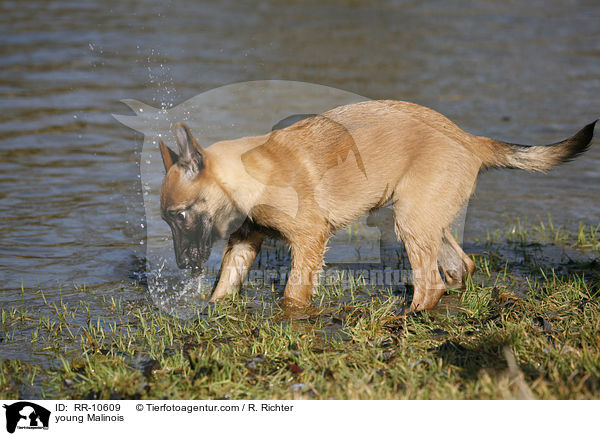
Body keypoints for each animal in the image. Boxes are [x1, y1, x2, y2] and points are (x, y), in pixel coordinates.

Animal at [159, 99, 596, 310]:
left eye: (179, 215)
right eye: (166, 220)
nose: (182, 265)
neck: (251, 175)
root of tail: (470, 139)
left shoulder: (308, 241)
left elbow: (293, 296)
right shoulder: (245, 243)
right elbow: (222, 289)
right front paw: (208, 312)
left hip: (409, 222)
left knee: (431, 283)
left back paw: (407, 318)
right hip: (424, 219)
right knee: (458, 268)